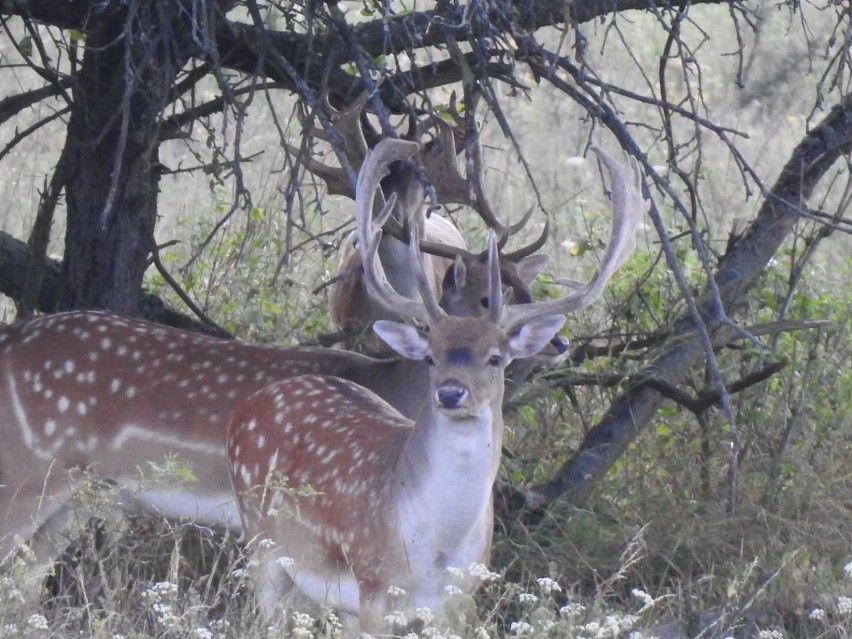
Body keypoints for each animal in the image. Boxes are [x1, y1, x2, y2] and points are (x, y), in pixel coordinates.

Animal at [226, 138, 652, 632]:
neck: (437, 551)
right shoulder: (373, 590)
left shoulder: (460, 600)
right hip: (261, 544)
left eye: (496, 357)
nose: (450, 393)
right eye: (431, 356)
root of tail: (252, 404)